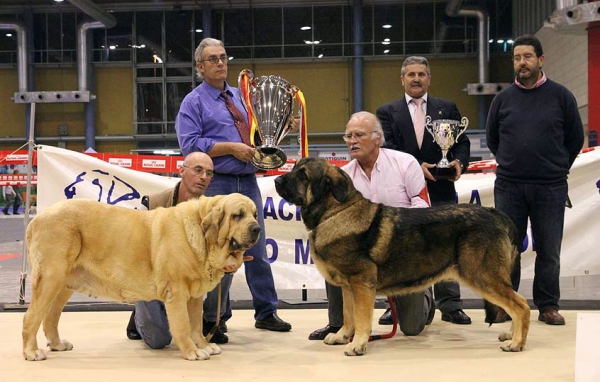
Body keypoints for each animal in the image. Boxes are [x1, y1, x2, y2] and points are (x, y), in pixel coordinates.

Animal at [22, 194, 260, 362]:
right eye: (238, 215)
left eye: (255, 214)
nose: (257, 228)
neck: (201, 233)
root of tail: (36, 220)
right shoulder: (177, 292)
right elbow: (183, 325)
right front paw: (193, 351)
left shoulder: (193, 297)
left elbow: (195, 325)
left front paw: (203, 345)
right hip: (50, 278)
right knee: (31, 317)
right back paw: (31, 352)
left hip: (64, 285)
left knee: (50, 317)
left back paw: (57, 344)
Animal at [274, 157, 532, 356]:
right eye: (294, 168)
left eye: (303, 175)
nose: (276, 180)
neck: (336, 211)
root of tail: (495, 214)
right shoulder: (348, 287)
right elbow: (349, 315)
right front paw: (342, 336)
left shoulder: (361, 284)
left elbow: (361, 318)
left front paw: (357, 345)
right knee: (516, 305)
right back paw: (512, 335)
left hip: (482, 276)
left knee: (521, 306)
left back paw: (516, 343)